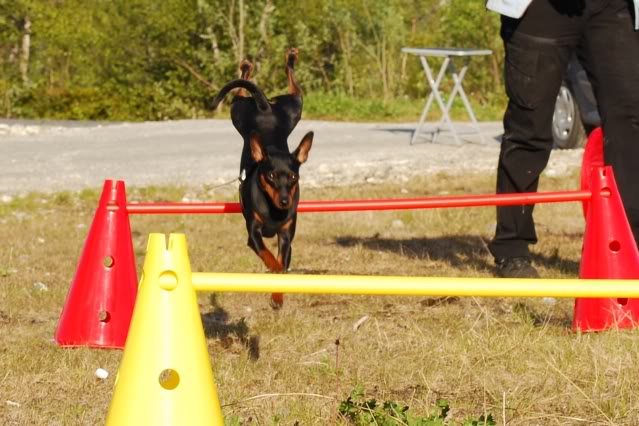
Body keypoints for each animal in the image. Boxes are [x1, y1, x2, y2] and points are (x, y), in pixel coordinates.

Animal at [211, 49, 314, 310]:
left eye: (293, 177)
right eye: (270, 176)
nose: (285, 200)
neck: (273, 210)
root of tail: (266, 107)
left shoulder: (286, 235)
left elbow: (282, 261)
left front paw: (277, 296)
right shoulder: (254, 234)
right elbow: (272, 260)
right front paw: (276, 272)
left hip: (292, 110)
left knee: (291, 87)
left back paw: (286, 59)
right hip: (240, 114)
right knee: (241, 91)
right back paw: (253, 65)